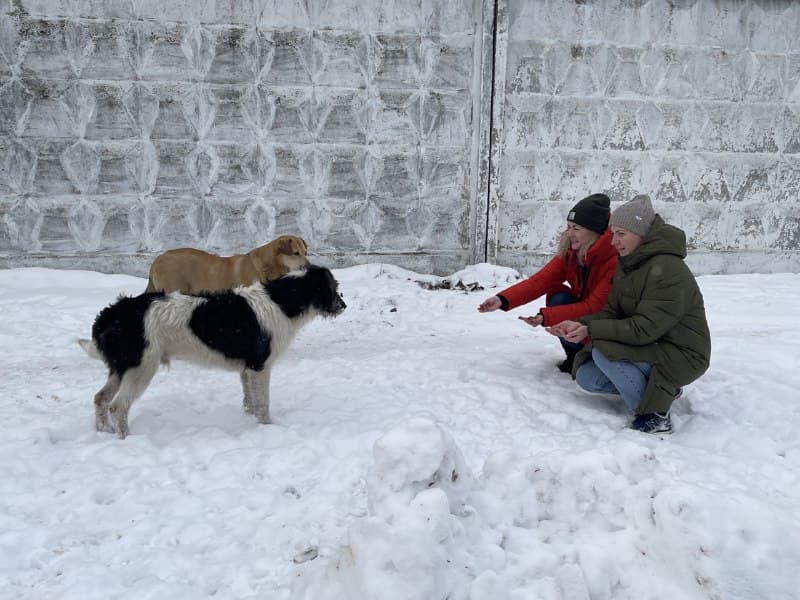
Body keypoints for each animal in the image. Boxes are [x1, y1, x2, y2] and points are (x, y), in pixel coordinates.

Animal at [79, 264, 346, 438]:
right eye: (332, 287)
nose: (343, 305)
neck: (282, 301)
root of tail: (113, 313)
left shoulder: (247, 369)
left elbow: (250, 401)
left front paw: (248, 421)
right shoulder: (260, 366)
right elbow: (263, 404)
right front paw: (267, 429)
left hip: (121, 368)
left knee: (100, 398)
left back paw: (104, 431)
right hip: (140, 368)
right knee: (118, 406)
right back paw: (126, 438)